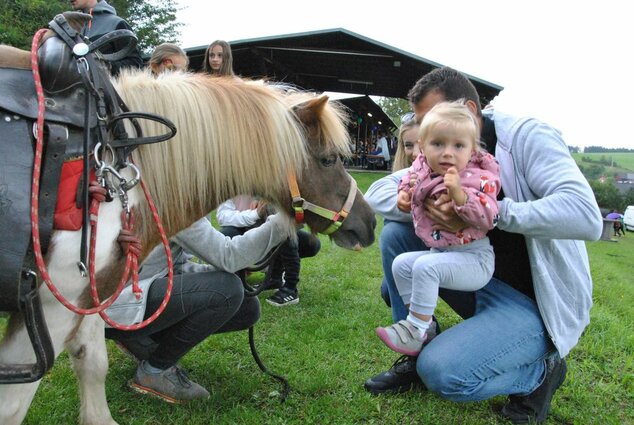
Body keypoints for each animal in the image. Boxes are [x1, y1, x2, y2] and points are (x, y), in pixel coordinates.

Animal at [0, 32, 376, 424]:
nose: (368, 223)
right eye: (329, 159)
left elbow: (92, 363)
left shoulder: (92, 293)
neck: (122, 163)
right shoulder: (52, 302)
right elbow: (13, 404)